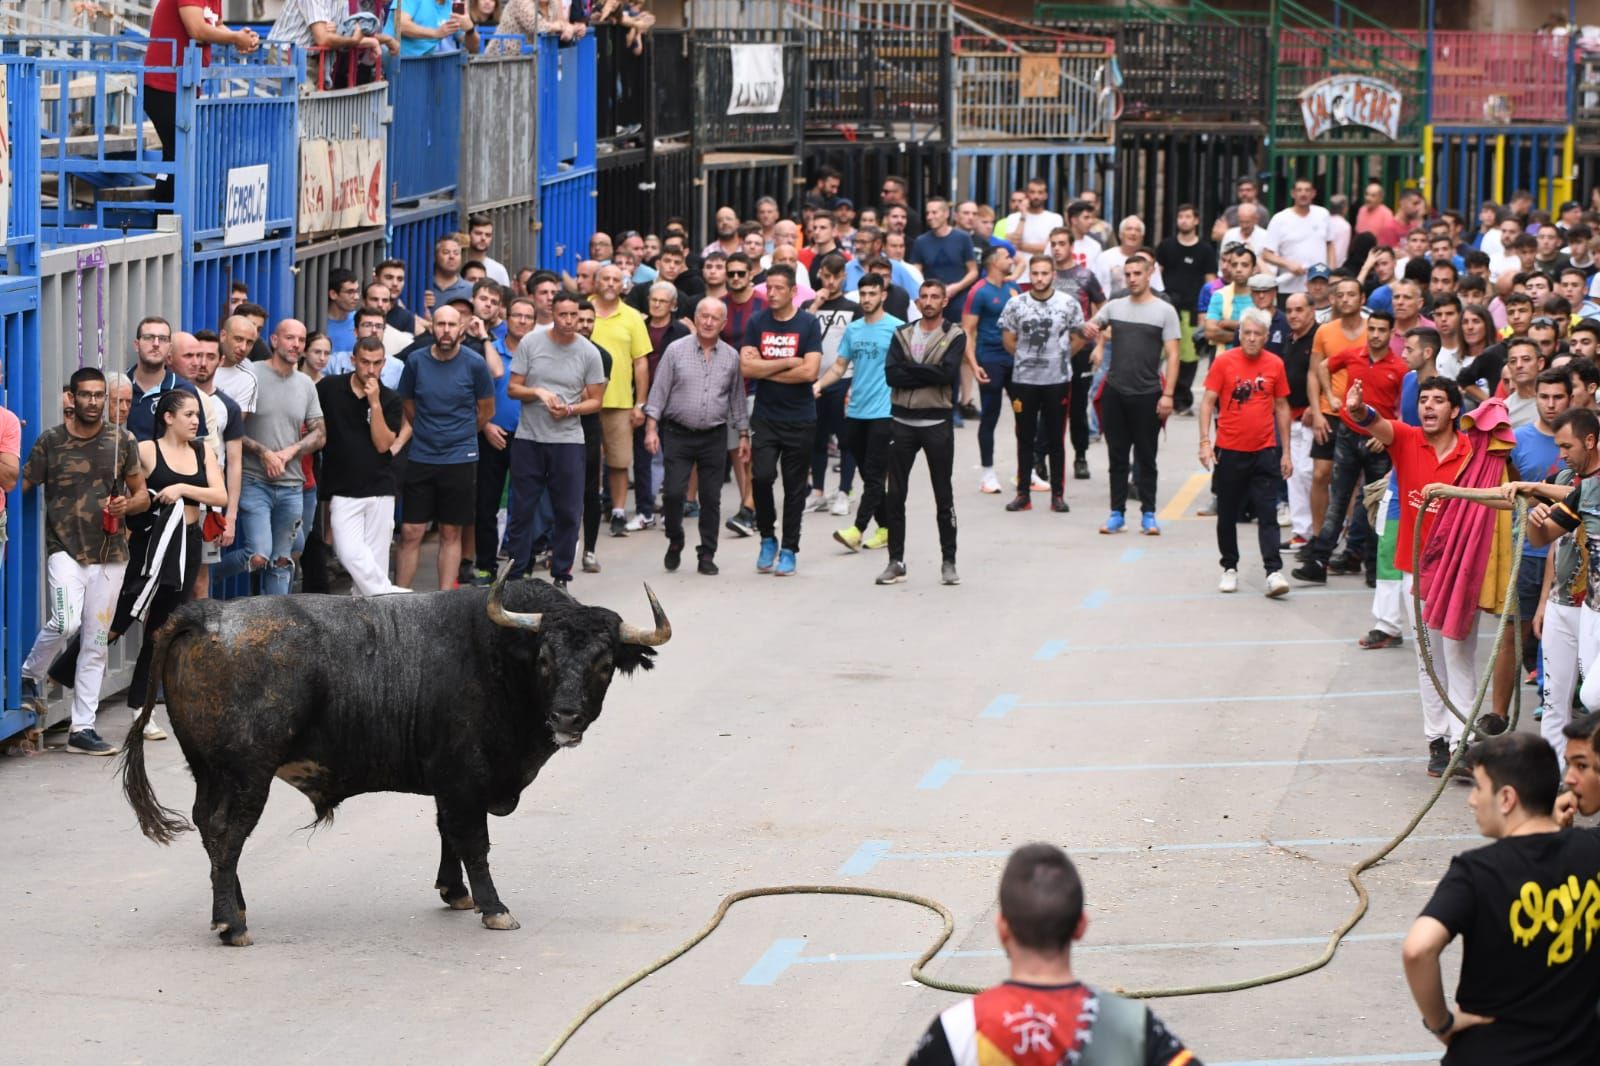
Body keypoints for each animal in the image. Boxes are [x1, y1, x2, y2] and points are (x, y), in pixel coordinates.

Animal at [120, 576, 668, 941]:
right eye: (546, 660)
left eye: (603, 664)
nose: (566, 717)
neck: (499, 656)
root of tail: (205, 615)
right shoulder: (466, 779)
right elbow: (475, 842)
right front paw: (493, 907)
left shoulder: (451, 783)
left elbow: (449, 833)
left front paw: (454, 891)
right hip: (247, 776)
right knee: (227, 833)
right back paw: (231, 923)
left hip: (208, 771)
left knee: (210, 832)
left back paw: (235, 906)